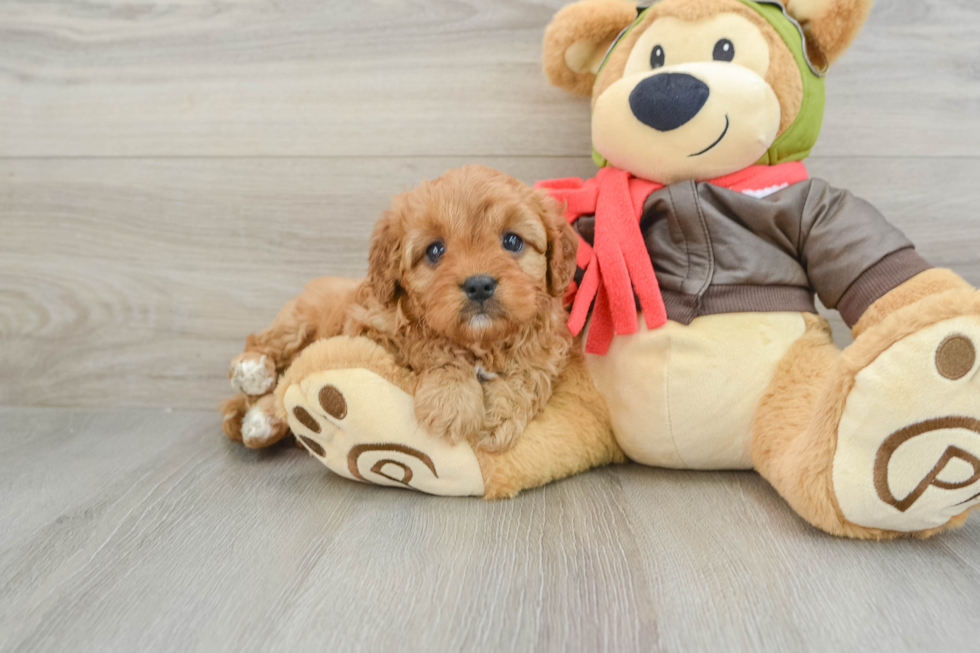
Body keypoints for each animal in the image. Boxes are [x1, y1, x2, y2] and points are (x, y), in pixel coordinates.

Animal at [223, 166, 580, 450]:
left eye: (512, 241)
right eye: (435, 250)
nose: (479, 285)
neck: (480, 343)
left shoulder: (547, 349)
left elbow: (530, 375)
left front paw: (500, 418)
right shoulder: (374, 327)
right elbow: (433, 346)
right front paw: (451, 403)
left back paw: (262, 421)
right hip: (298, 321)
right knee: (268, 352)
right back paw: (253, 374)